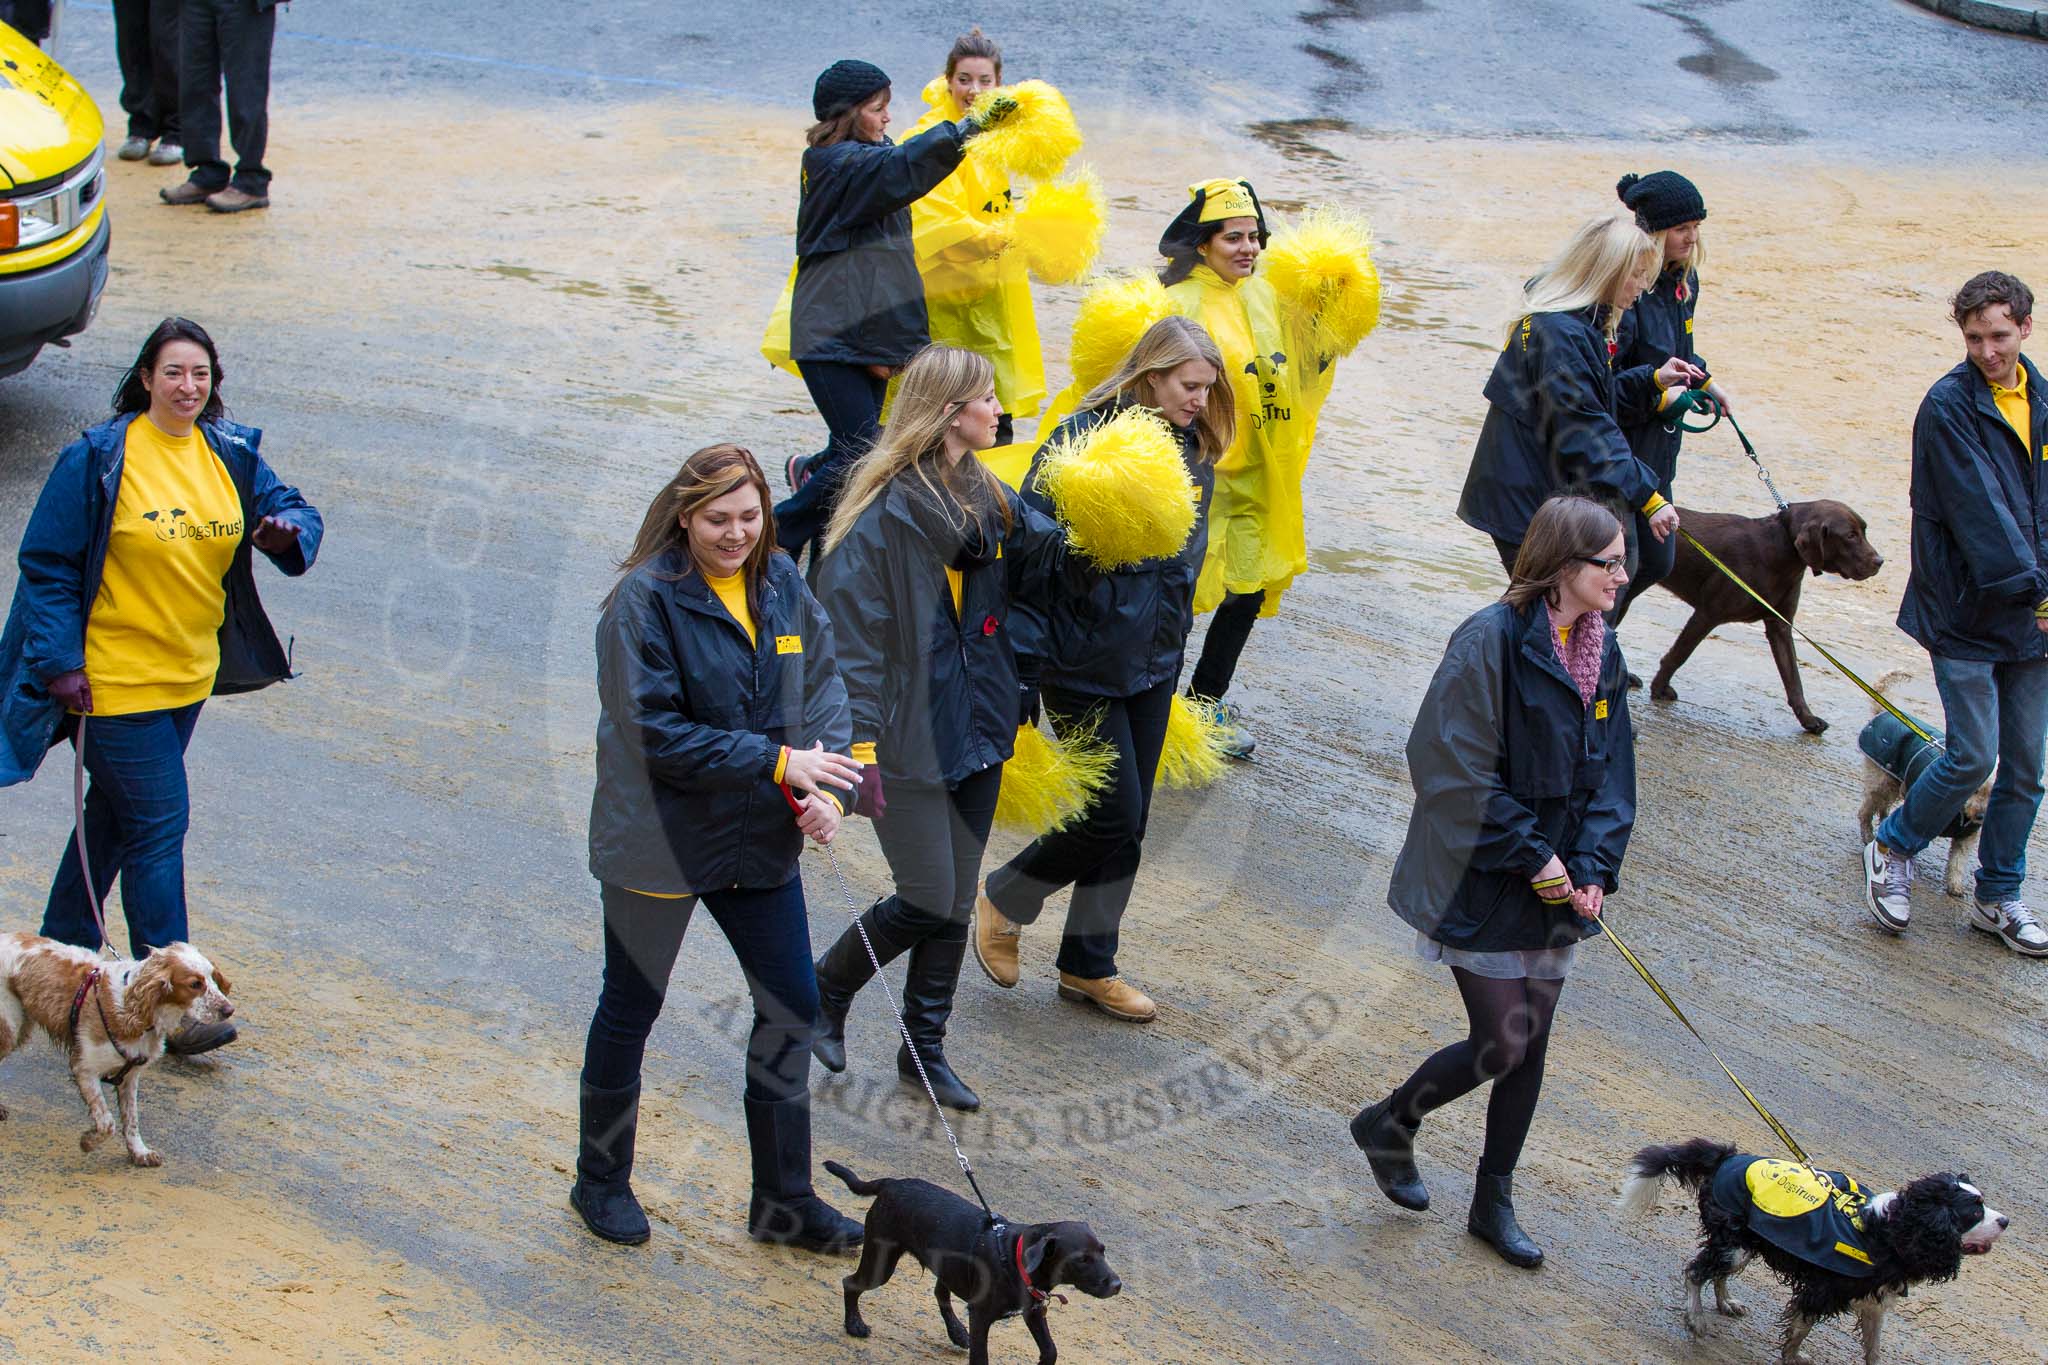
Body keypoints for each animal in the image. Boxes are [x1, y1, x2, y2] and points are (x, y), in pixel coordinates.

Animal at [827, 1162, 1130, 1365]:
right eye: (1082, 1260)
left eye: (1103, 1251)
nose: (1117, 1285)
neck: (1014, 1258)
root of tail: (891, 1183)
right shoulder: (982, 1316)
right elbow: (981, 1357)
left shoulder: (1032, 1313)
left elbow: (1050, 1350)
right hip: (880, 1263)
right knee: (850, 1283)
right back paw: (854, 1325)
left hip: (945, 1265)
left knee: (940, 1292)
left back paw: (957, 1332)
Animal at [1622, 1137, 2007, 1358]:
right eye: (1975, 1212)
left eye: (1984, 1204)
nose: (2005, 1221)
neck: (1890, 1230)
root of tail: (1726, 1158)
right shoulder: (1821, 1293)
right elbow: (1799, 1331)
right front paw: (1792, 1357)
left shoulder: (1873, 1301)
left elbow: (1873, 1347)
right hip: (1734, 1245)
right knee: (1695, 1272)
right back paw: (1697, 1319)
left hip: (1745, 1244)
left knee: (1717, 1274)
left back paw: (1726, 1303)